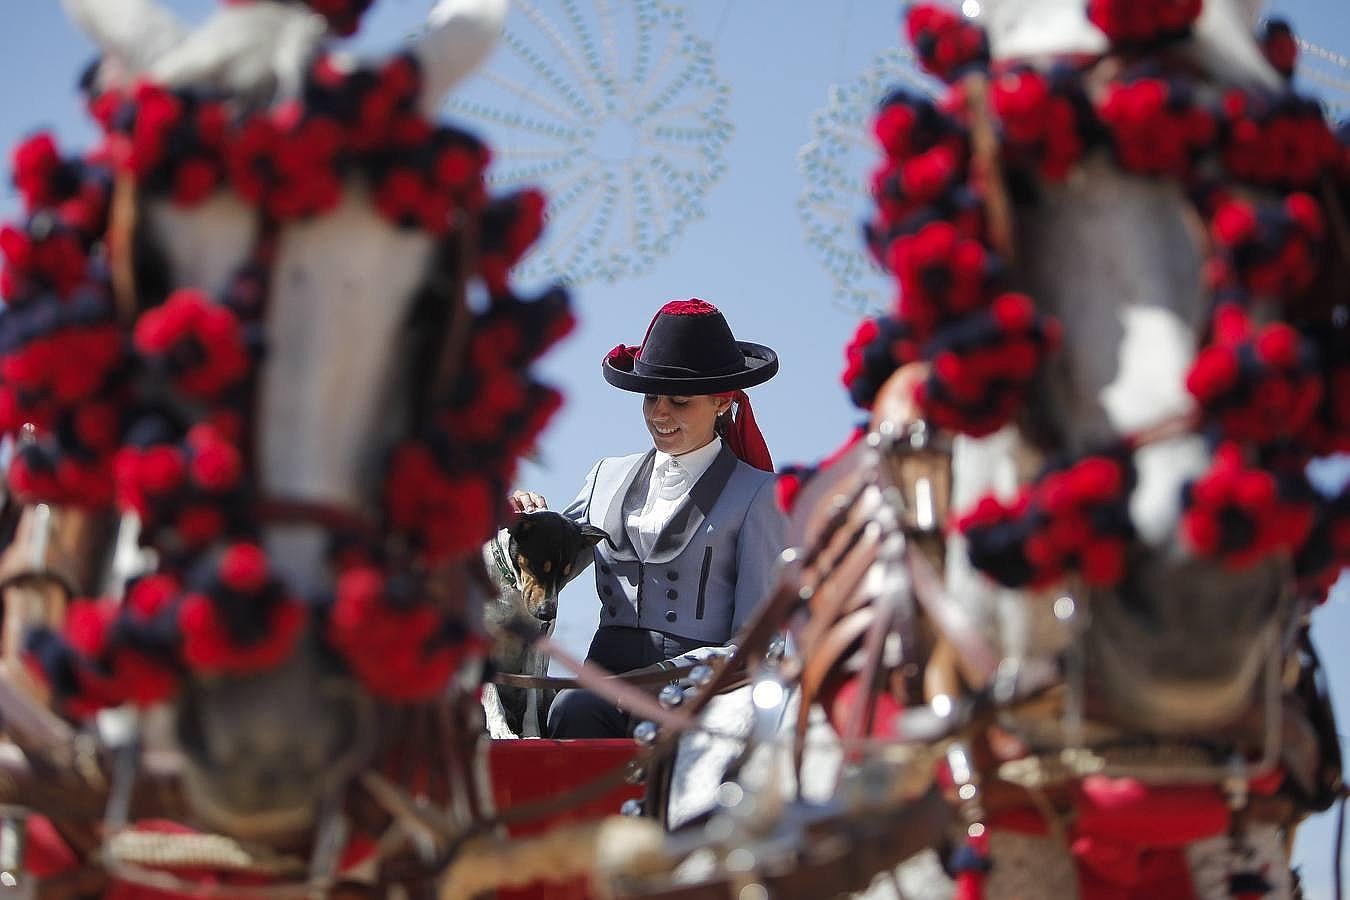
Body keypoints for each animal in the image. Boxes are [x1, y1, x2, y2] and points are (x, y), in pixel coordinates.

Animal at [483, 512, 610, 739]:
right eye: (539, 566)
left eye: (566, 574)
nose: (548, 615)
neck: (512, 587)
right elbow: (490, 692)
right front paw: (501, 730)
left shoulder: (533, 648)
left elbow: (532, 693)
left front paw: (532, 733)